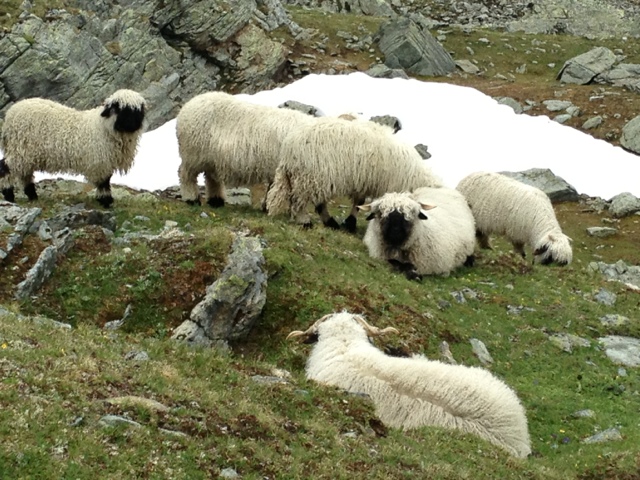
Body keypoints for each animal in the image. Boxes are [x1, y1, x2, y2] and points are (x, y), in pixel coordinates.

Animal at [0, 89, 146, 207]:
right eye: (119, 109)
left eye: (138, 111)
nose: (133, 125)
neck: (103, 127)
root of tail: (10, 114)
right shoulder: (100, 162)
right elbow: (104, 183)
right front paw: (106, 201)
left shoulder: (105, 163)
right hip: (20, 149)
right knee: (6, 168)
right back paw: (9, 195)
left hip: (26, 154)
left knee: (25, 174)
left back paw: (32, 196)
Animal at [175, 91, 319, 209]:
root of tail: (188, 105)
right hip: (193, 154)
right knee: (185, 174)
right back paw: (192, 199)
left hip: (211, 159)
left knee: (211, 178)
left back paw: (216, 200)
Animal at [266, 116, 443, 232]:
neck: (413, 177)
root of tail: (289, 147)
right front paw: (351, 223)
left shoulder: (364, 181)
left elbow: (359, 201)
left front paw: (350, 222)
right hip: (312, 175)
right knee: (301, 200)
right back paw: (306, 221)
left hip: (307, 177)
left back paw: (329, 222)